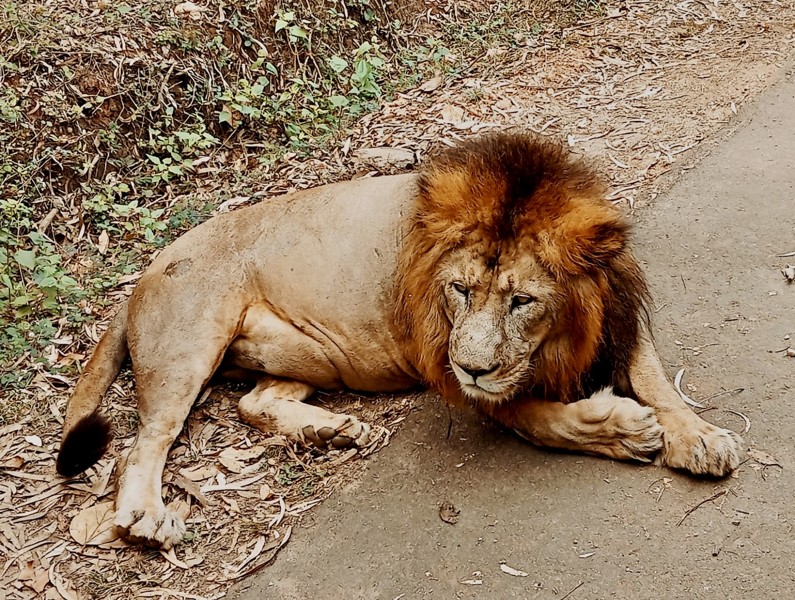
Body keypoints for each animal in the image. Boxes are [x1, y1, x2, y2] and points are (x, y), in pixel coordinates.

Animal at [57, 131, 748, 548]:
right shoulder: (454, 368)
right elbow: (540, 418)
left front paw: (700, 436)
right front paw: (622, 430)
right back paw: (147, 517)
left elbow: (657, 380)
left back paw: (331, 431)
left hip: (306, 355)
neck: (562, 338)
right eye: (460, 290)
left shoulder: (616, 321)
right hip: (191, 343)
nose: (473, 368)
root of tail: (140, 280)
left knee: (254, 402)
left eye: (522, 300)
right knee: (140, 446)